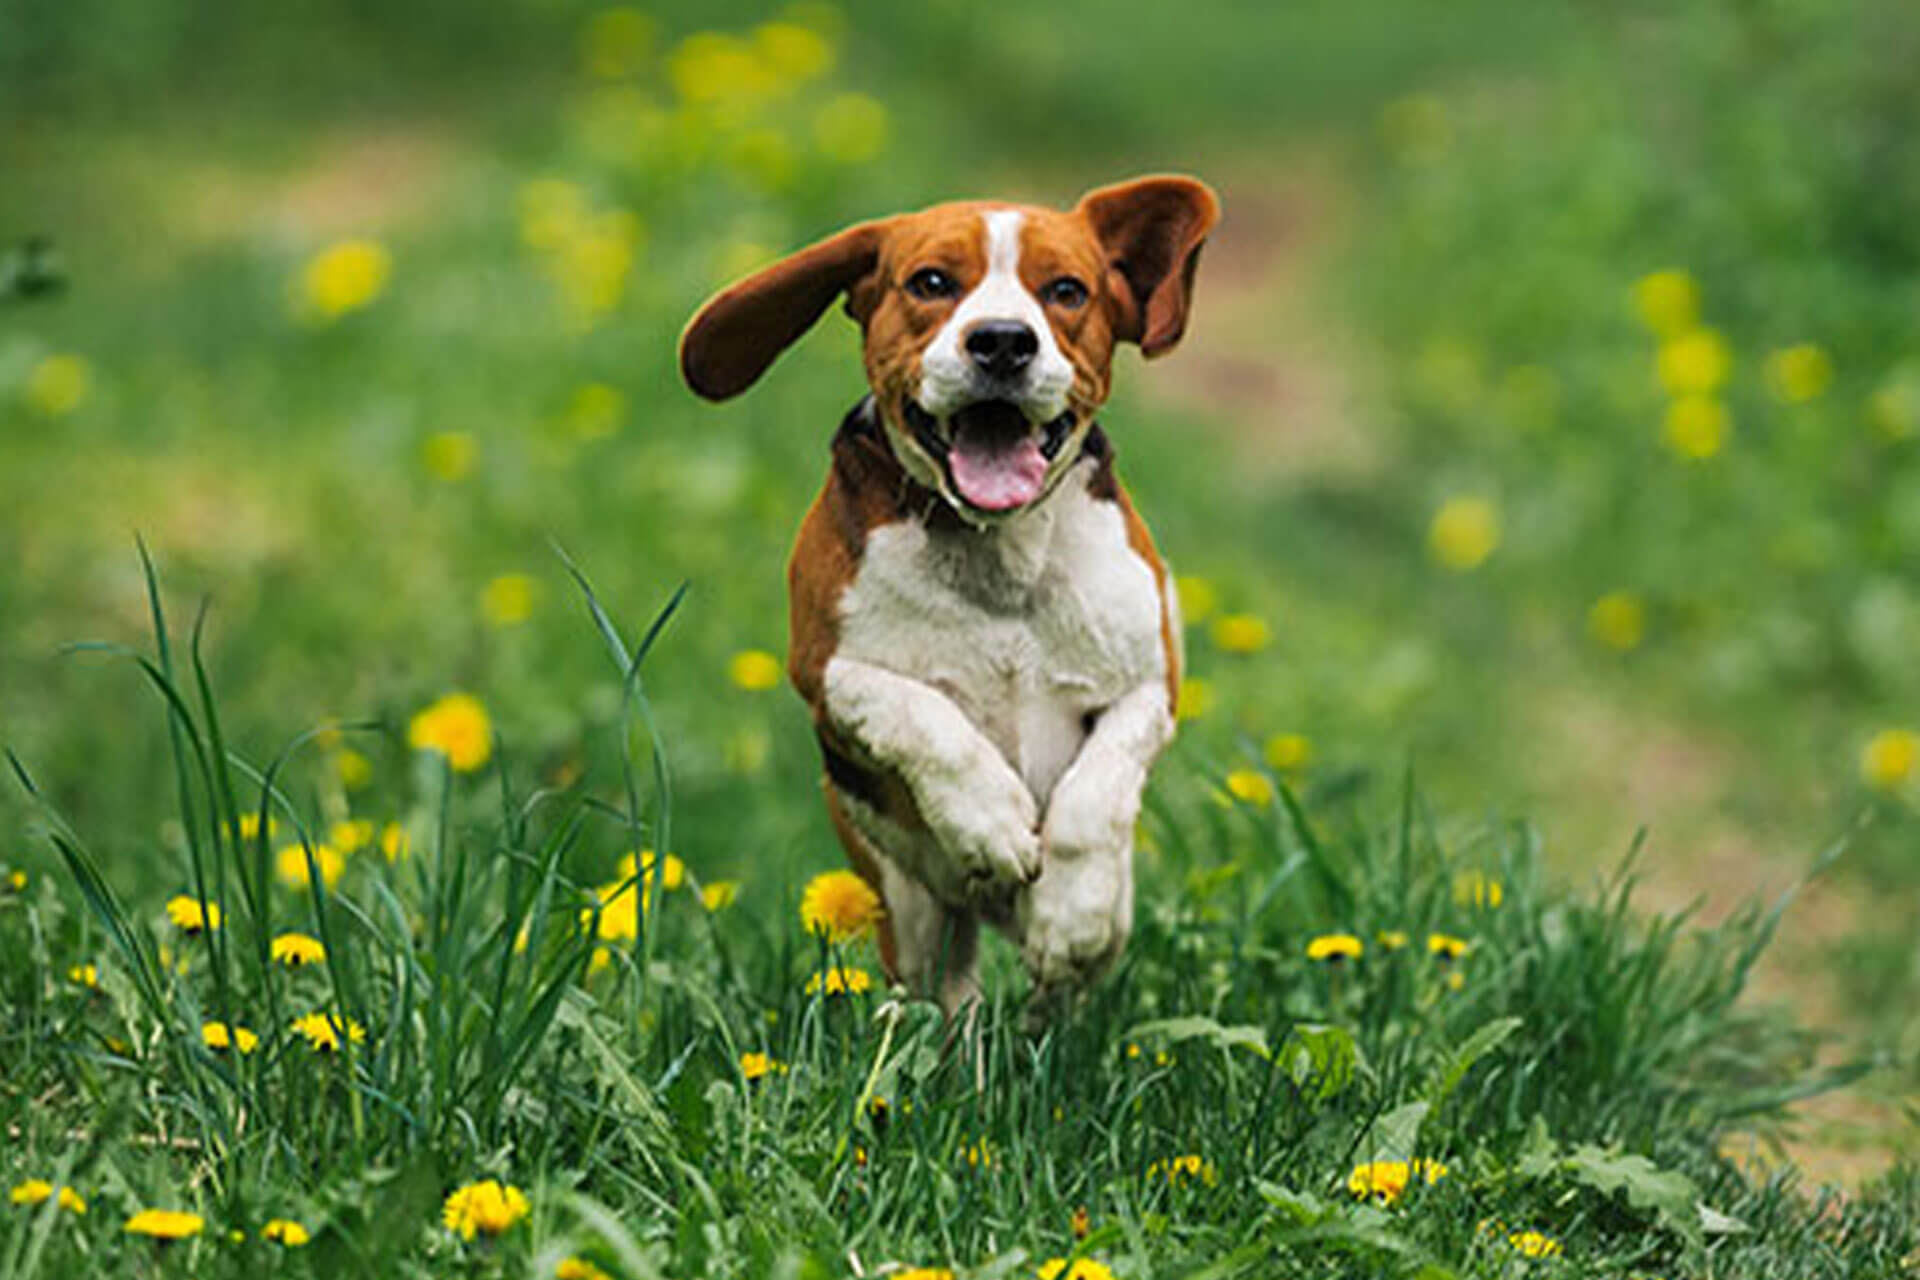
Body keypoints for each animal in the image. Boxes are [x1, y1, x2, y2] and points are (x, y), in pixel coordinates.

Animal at [679, 175, 1213, 1013]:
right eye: (931, 282)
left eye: (1067, 291)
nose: (1002, 341)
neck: (1001, 550)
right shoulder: (827, 673)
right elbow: (921, 715)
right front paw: (992, 821)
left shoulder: (1150, 684)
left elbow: (1093, 798)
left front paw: (1069, 913)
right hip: (911, 914)